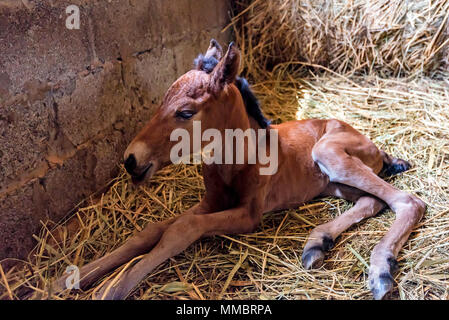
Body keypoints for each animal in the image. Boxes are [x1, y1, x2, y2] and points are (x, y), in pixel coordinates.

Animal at [53, 40, 424, 300]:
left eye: (186, 112)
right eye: (160, 103)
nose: (131, 159)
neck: (235, 160)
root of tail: (375, 145)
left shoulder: (249, 215)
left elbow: (182, 229)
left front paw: (111, 288)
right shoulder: (212, 201)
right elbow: (152, 230)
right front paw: (71, 278)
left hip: (329, 153)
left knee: (407, 201)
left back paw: (380, 272)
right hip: (333, 182)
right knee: (371, 201)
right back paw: (317, 243)